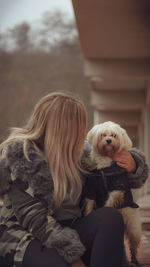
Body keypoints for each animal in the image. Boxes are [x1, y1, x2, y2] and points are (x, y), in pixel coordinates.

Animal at [85, 122, 141, 267]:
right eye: (103, 135)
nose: (109, 140)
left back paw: (134, 261)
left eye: (114, 135)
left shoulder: (118, 188)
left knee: (133, 246)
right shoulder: (91, 188)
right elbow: (89, 205)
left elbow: (109, 201)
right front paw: (87, 215)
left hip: (133, 228)